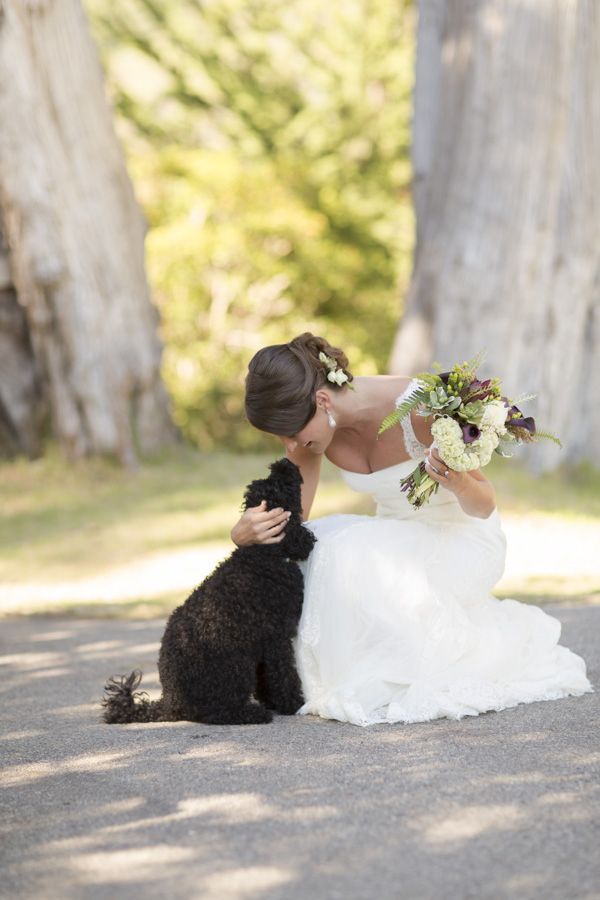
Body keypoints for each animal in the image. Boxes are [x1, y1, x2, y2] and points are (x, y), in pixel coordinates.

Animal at [102, 460, 318, 728]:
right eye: (278, 485)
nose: (283, 462)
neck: (263, 556)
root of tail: (171, 702)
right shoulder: (275, 638)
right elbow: (283, 674)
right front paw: (293, 703)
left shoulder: (262, 644)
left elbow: (267, 678)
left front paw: (274, 701)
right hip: (234, 666)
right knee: (216, 713)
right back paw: (251, 714)